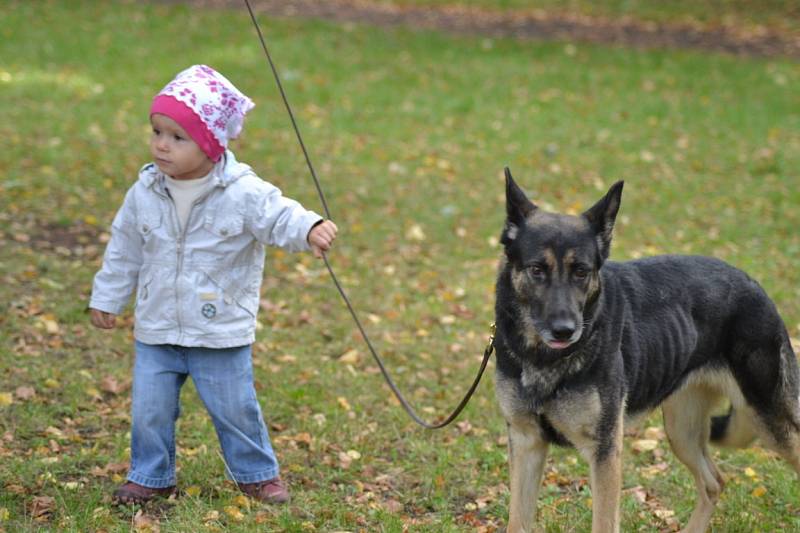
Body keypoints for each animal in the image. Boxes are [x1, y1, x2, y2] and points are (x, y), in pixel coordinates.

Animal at [494, 167, 800, 532]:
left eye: (581, 271)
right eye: (537, 270)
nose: (565, 330)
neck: (543, 358)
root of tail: (755, 286)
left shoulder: (604, 453)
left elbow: (603, 523)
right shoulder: (527, 444)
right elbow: (517, 521)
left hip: (771, 421)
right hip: (682, 431)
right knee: (714, 482)